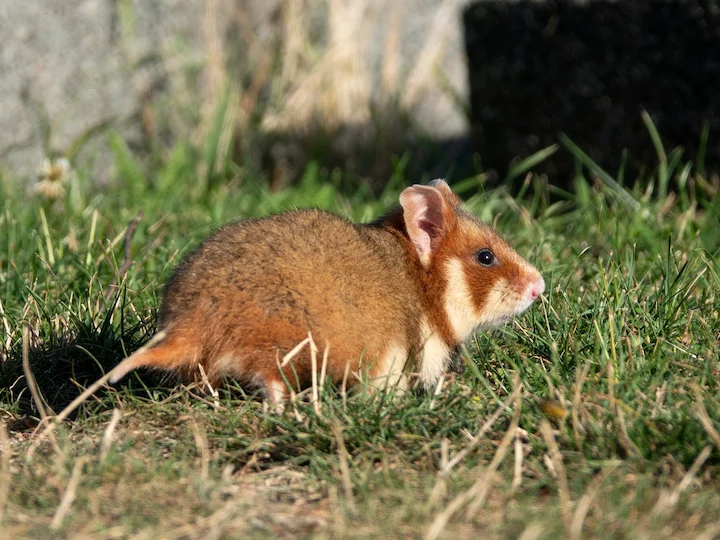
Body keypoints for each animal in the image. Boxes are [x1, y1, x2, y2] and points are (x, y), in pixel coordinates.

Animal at [110, 179, 545, 401]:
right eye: (486, 257)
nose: (540, 286)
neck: (423, 288)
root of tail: (187, 326)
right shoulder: (392, 361)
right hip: (282, 344)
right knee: (269, 381)